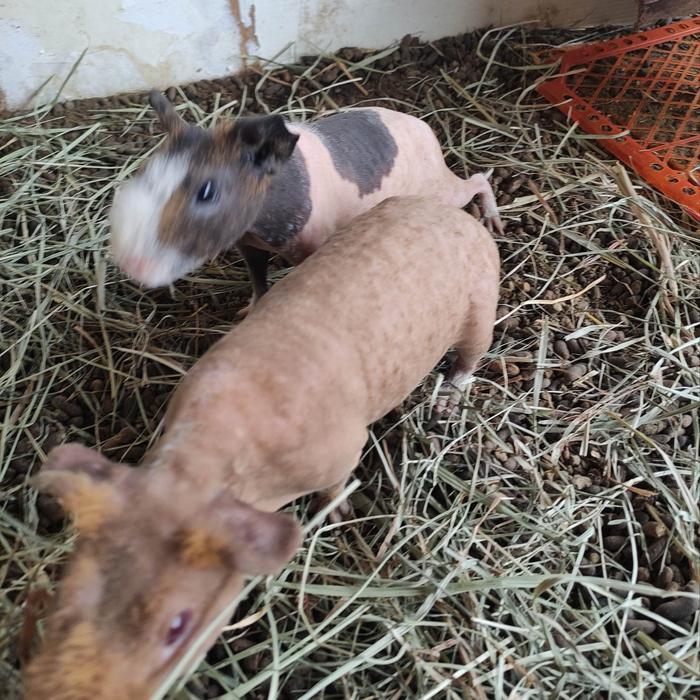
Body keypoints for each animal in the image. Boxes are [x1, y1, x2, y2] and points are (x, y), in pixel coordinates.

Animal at [25, 195, 500, 699]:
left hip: (480, 308)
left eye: (177, 625)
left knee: (469, 360)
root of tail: (451, 213)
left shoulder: (343, 449)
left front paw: (336, 514)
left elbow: (335, 486)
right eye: (68, 586)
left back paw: (447, 402)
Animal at [109, 91, 502, 300]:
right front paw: (248, 308)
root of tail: (427, 131)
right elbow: (257, 281)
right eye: (147, 170)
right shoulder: (248, 246)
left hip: (441, 190)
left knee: (478, 179)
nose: (130, 265)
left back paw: (493, 222)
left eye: (207, 192)